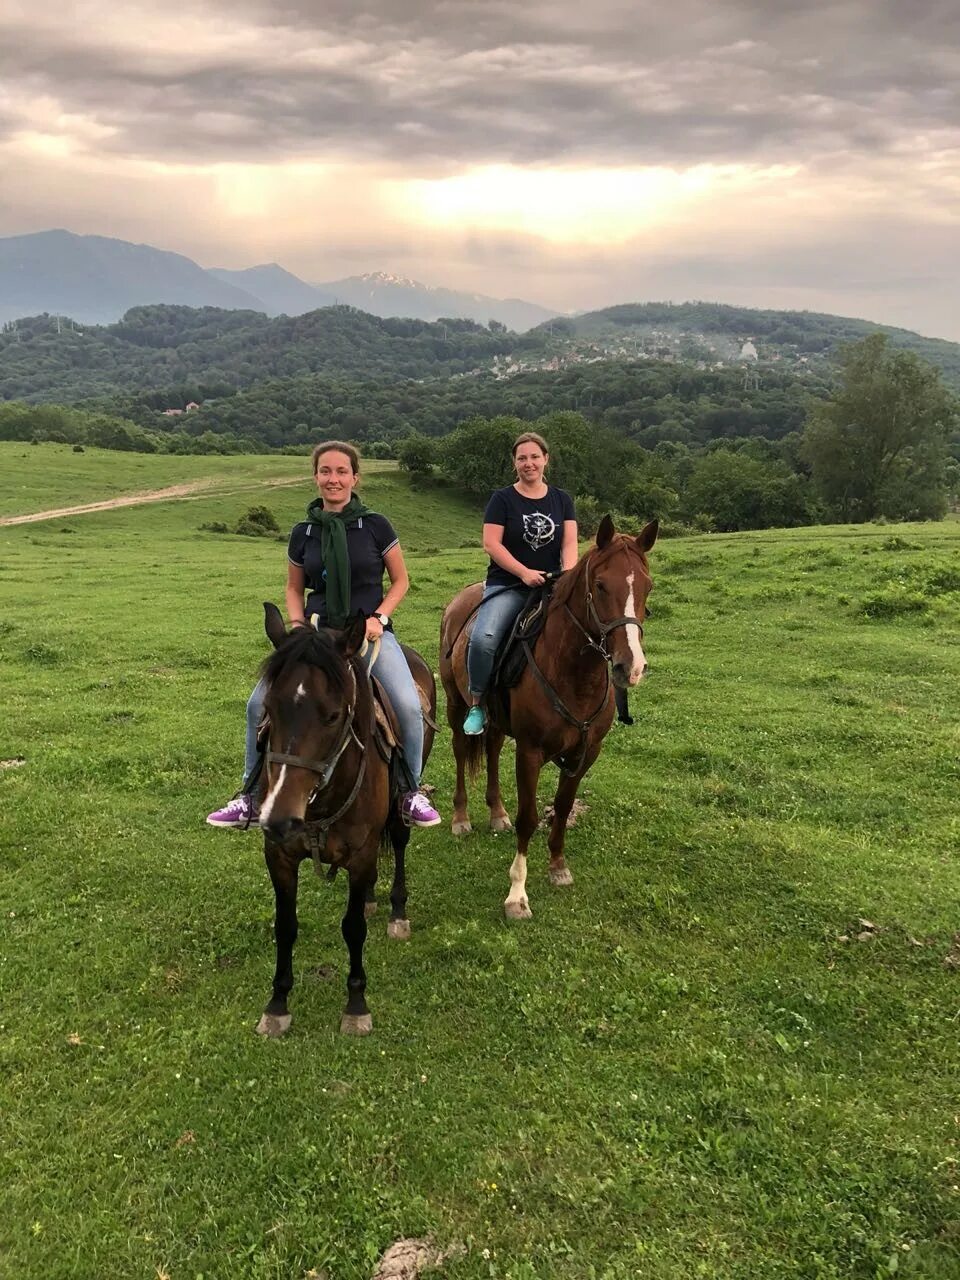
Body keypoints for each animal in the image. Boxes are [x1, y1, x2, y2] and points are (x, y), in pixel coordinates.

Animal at [256, 604, 435, 1034]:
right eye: (268, 710)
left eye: (334, 715)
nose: (279, 818)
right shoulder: (279, 856)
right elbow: (285, 926)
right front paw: (277, 1004)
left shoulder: (362, 851)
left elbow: (353, 929)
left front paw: (356, 1005)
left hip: (398, 813)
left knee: (399, 845)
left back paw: (396, 912)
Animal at [440, 519, 660, 921]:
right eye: (601, 585)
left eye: (647, 586)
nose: (631, 666)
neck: (573, 675)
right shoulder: (529, 751)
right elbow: (529, 817)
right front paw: (517, 894)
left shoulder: (585, 753)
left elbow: (562, 806)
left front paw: (558, 866)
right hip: (455, 704)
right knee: (462, 750)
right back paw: (460, 818)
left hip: (497, 720)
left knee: (492, 748)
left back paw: (496, 812)